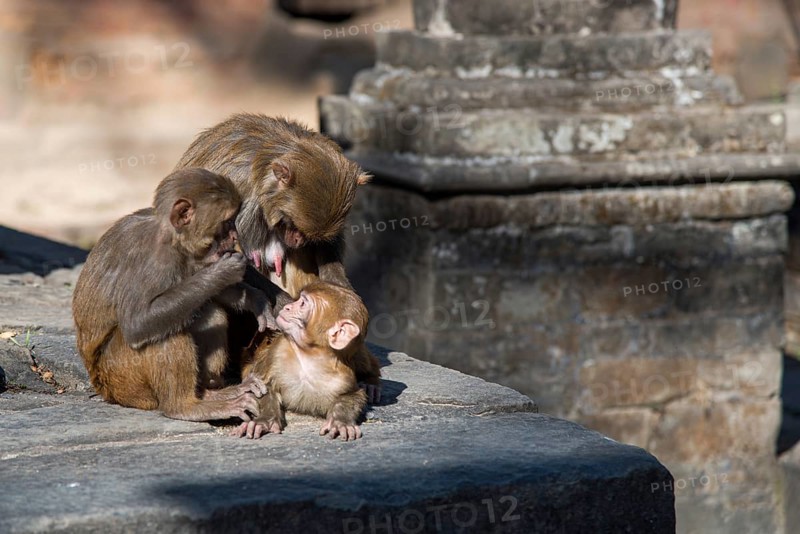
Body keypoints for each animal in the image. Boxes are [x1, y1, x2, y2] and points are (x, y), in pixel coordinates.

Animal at [73, 168, 276, 422]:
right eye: (227, 221)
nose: (234, 237)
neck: (170, 236)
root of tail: (102, 386)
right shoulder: (152, 259)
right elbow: (138, 323)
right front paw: (224, 272)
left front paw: (253, 298)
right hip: (122, 377)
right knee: (163, 331)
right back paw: (184, 406)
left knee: (208, 312)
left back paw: (210, 392)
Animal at [233, 281, 381, 441]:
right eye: (298, 300)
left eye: (303, 303)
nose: (287, 307)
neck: (310, 358)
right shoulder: (278, 352)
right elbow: (263, 386)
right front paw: (264, 420)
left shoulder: (342, 376)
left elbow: (352, 394)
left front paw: (340, 421)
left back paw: (370, 382)